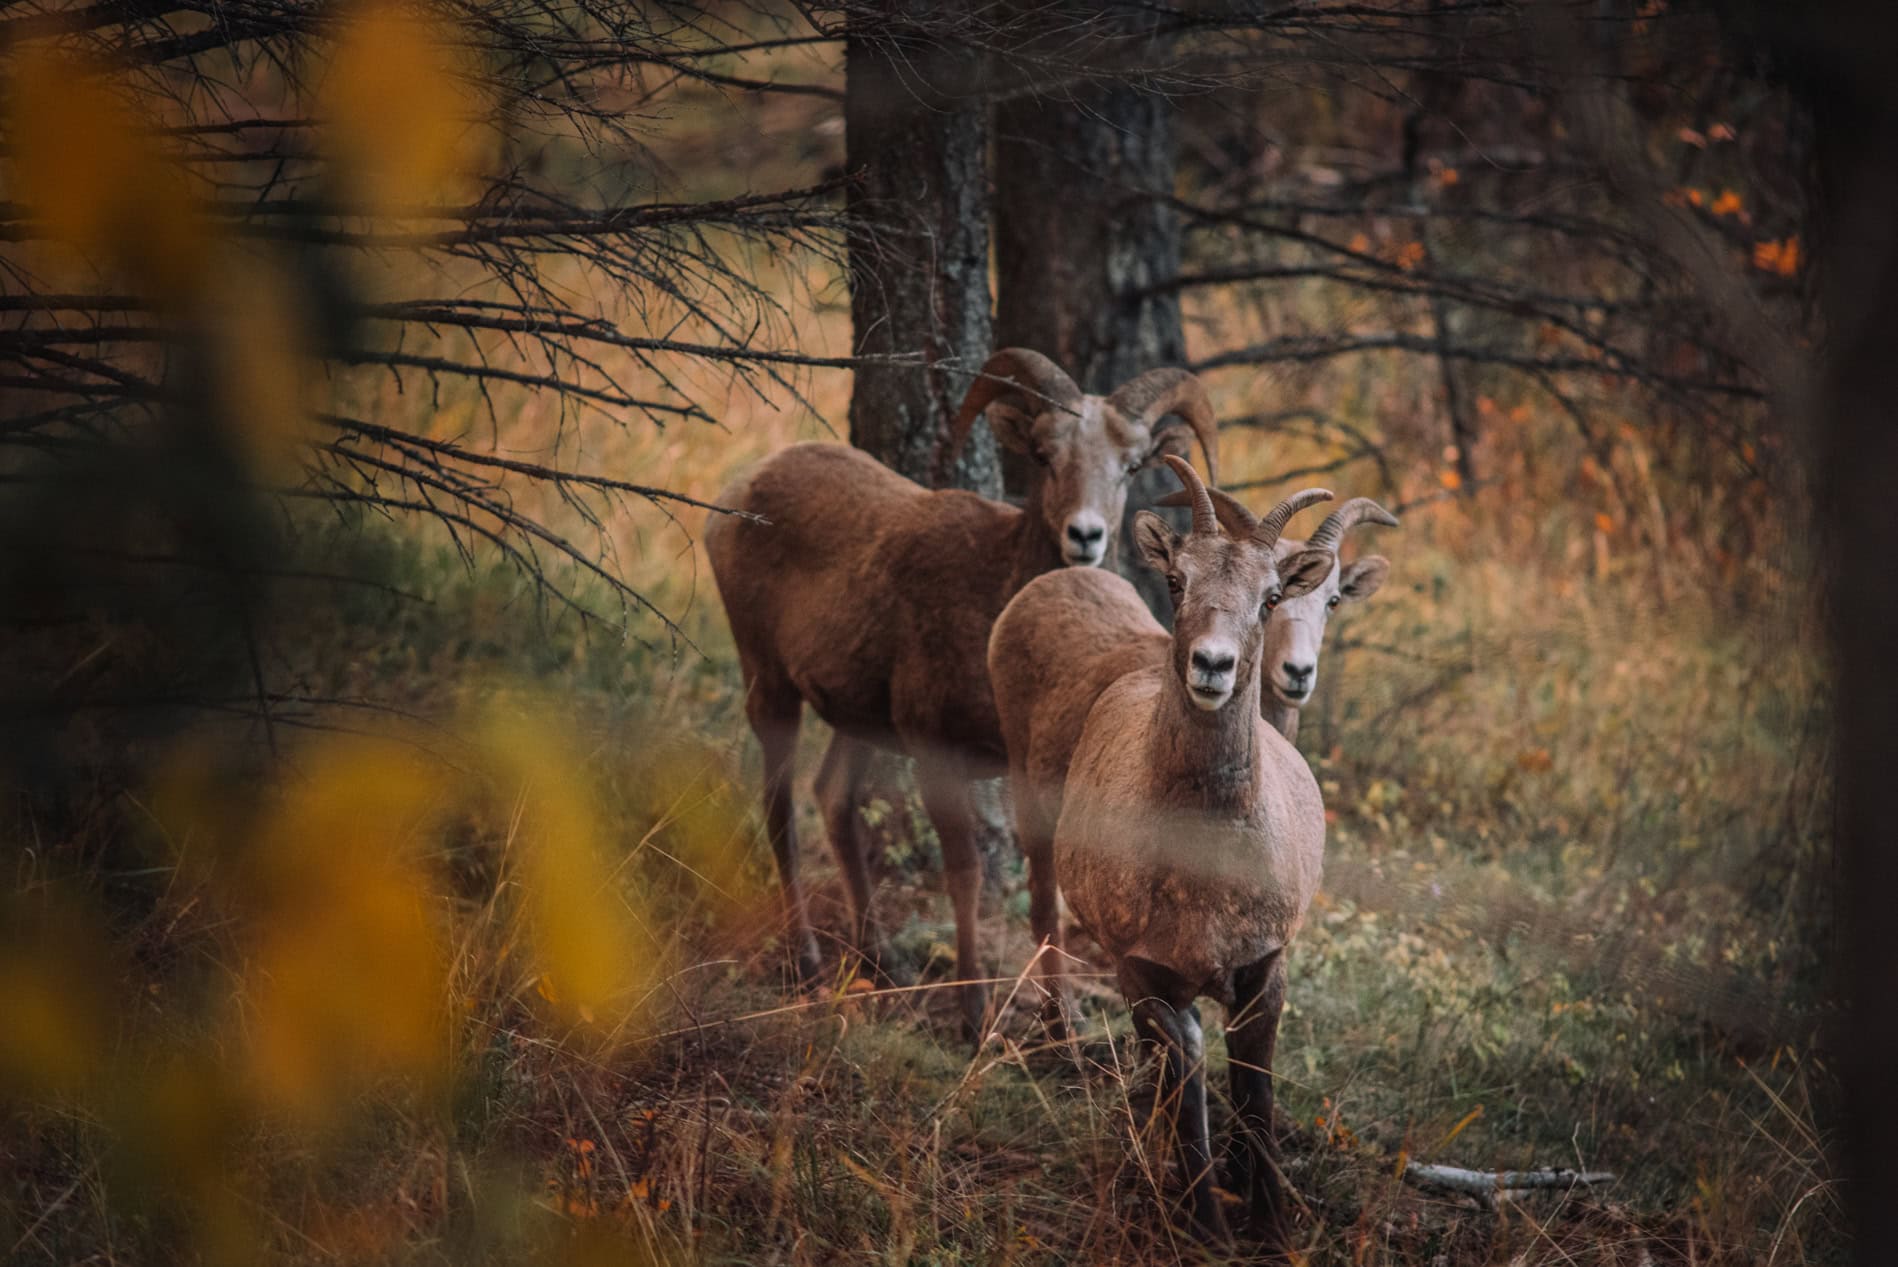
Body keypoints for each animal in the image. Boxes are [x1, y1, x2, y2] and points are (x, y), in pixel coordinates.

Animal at [709, 348, 1214, 1039]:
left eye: (1131, 466)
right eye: (1042, 454)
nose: (1085, 536)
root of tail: (742, 491)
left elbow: (1047, 893)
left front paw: (1062, 1019)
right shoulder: (936, 754)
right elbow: (968, 875)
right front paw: (975, 1015)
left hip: (858, 723)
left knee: (834, 799)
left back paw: (880, 962)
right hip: (771, 686)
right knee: (781, 813)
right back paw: (809, 965)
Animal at [1040, 457, 1336, 1244]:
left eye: (1270, 597)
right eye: (1177, 580)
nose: (1212, 665)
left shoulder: (1264, 969)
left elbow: (1256, 1095)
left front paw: (1273, 1226)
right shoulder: (1144, 974)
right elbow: (1189, 1081)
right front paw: (1207, 1227)